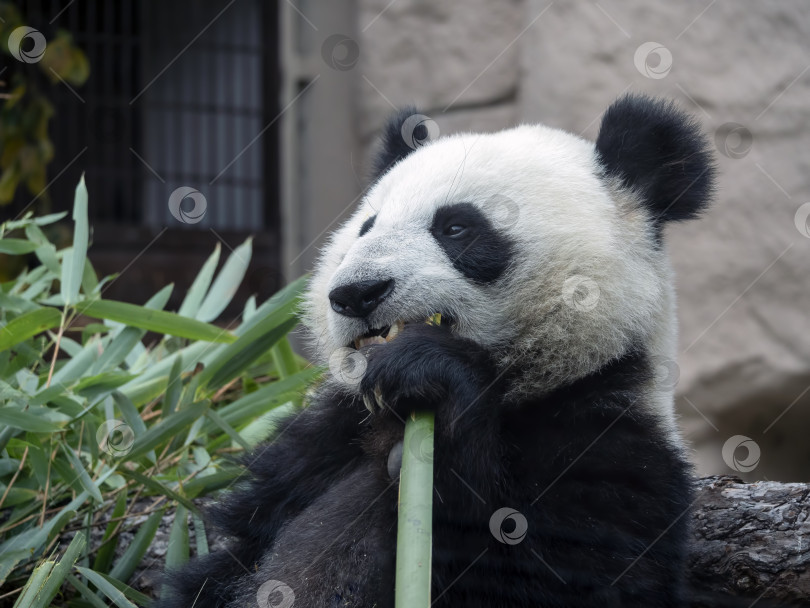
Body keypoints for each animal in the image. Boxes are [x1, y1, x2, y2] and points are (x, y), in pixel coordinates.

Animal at [158, 92, 712, 604]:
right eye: (367, 227)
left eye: (457, 227)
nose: (356, 293)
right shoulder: (316, 452)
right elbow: (232, 556)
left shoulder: (609, 444)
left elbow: (561, 574)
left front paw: (429, 377)